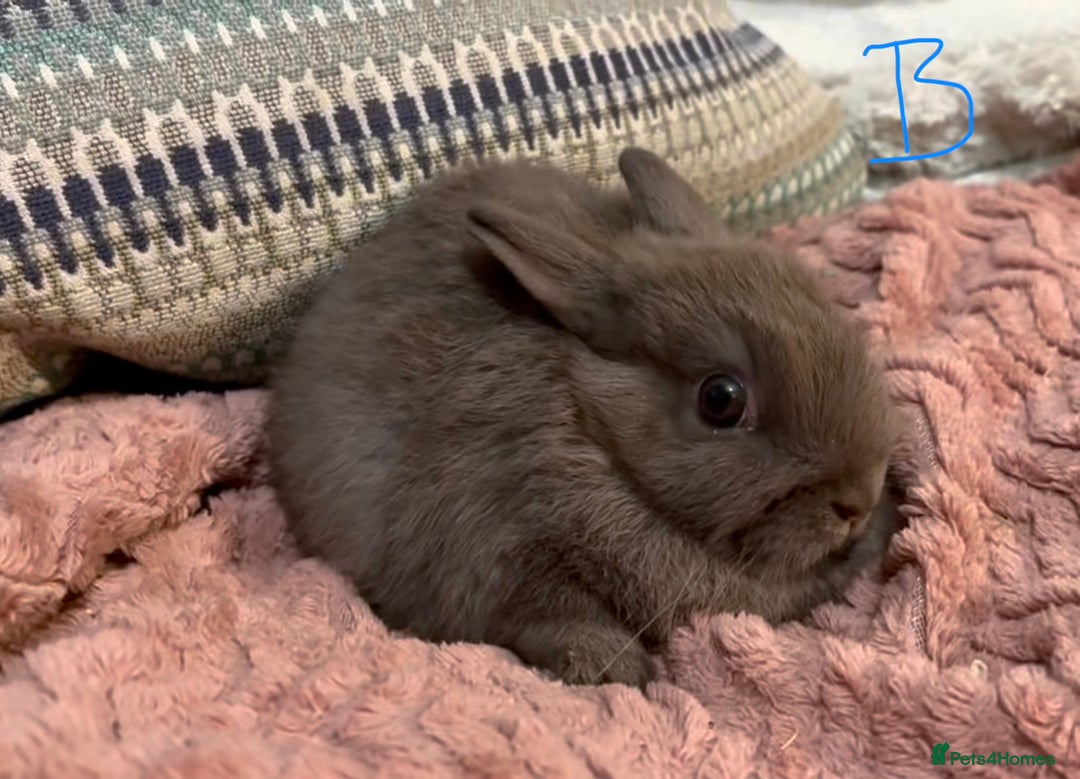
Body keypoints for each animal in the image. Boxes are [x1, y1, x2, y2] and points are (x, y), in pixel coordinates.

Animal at [268, 148, 903, 690]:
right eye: (720, 400)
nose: (857, 502)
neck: (592, 434)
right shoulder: (493, 554)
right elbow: (547, 616)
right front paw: (614, 668)